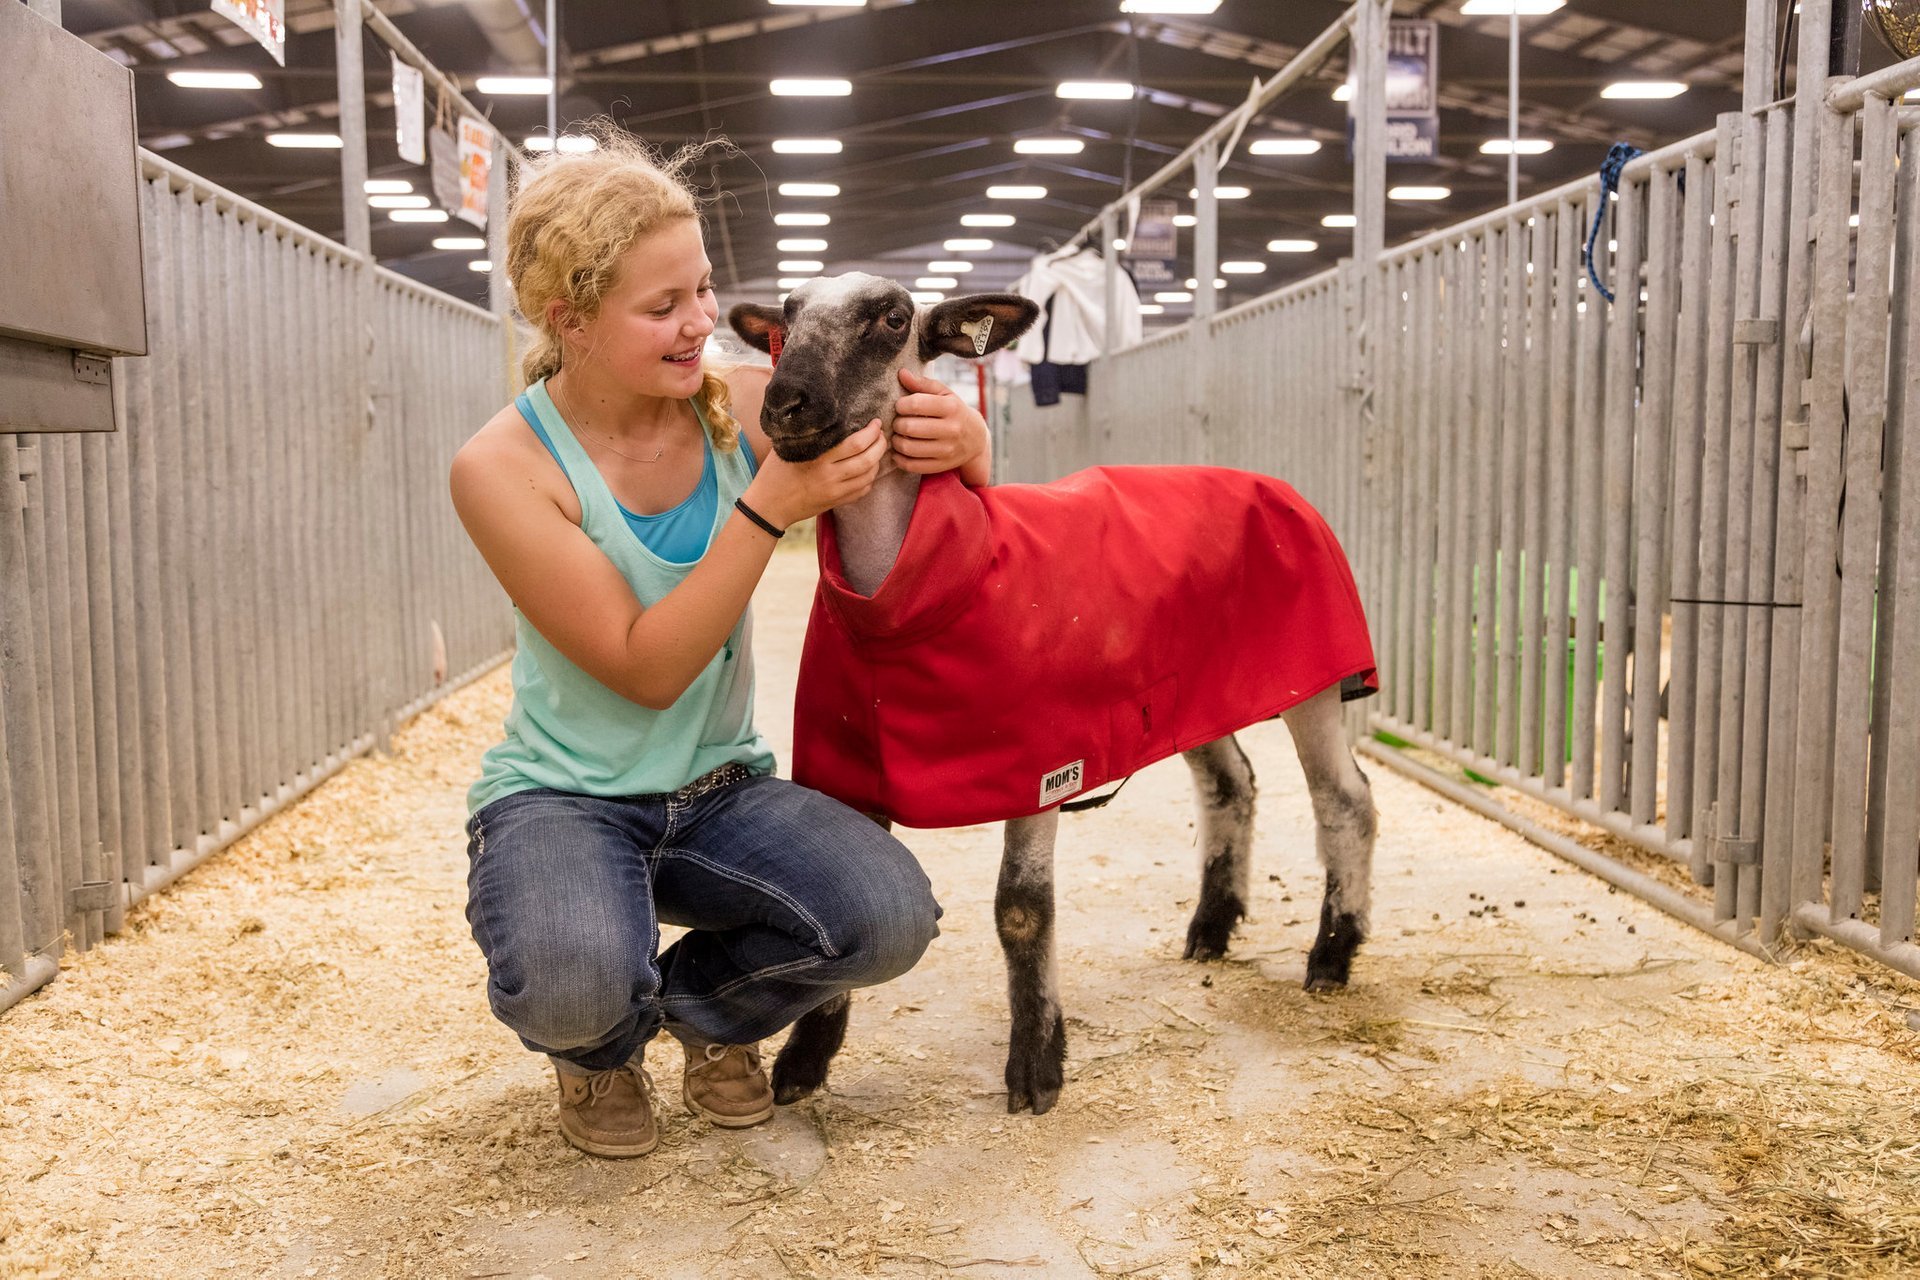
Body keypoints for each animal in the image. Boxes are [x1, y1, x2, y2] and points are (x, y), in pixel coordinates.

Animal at [725, 276, 1374, 1113]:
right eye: (788, 318)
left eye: (893, 319)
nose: (785, 405)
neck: (903, 602)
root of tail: (1268, 480)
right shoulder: (848, 766)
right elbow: (845, 922)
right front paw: (805, 1059)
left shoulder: (1040, 764)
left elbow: (1022, 912)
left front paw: (1037, 1064)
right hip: (1192, 691)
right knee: (1232, 784)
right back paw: (1212, 927)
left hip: (1313, 679)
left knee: (1343, 802)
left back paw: (1332, 954)